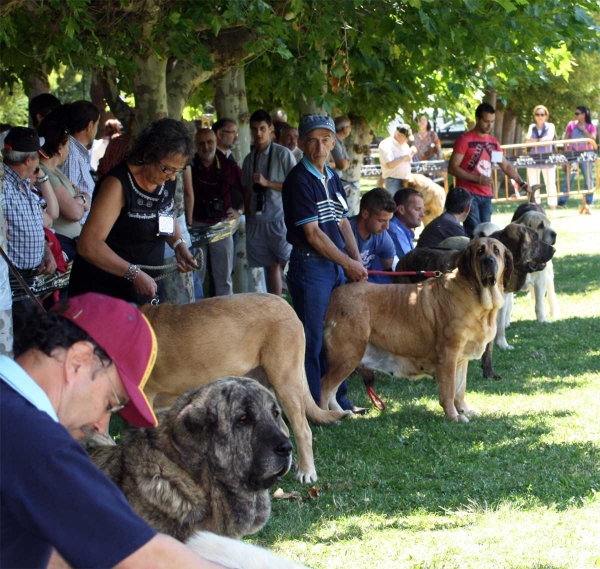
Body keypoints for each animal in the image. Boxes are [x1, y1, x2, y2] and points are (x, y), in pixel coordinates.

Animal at [322, 236, 512, 422]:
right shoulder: (448, 356)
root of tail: (335, 295)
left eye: (496, 251)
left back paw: (343, 413)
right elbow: (449, 391)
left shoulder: (461, 359)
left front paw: (464, 411)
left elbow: (460, 390)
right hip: (347, 356)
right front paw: (454, 416)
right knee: (324, 389)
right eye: (480, 251)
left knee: (332, 392)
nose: (488, 261)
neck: (475, 292)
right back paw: (328, 418)